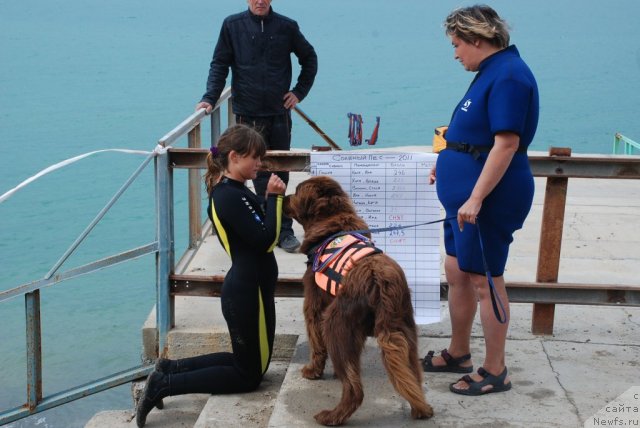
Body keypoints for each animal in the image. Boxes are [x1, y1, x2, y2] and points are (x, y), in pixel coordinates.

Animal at [282, 176, 432, 426]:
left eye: (296, 191)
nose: (282, 197)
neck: (332, 221)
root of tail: (381, 280)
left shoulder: (314, 306)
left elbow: (316, 343)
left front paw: (313, 371)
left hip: (336, 323)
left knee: (355, 389)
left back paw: (331, 416)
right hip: (404, 329)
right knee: (412, 375)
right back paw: (421, 409)